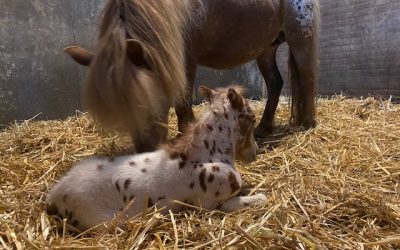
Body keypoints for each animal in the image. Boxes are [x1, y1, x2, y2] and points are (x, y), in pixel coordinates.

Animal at [46, 85, 266, 230]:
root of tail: (55, 194)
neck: (209, 154)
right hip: (106, 222)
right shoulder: (210, 206)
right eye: (252, 118)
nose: (254, 153)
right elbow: (252, 200)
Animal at [66, 0, 322, 152]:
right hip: (266, 46)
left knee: (307, 79)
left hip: (300, 35)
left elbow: (182, 104)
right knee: (275, 83)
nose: (146, 151)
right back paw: (263, 128)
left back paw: (307, 125)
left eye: (147, 100)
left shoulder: (185, 57)